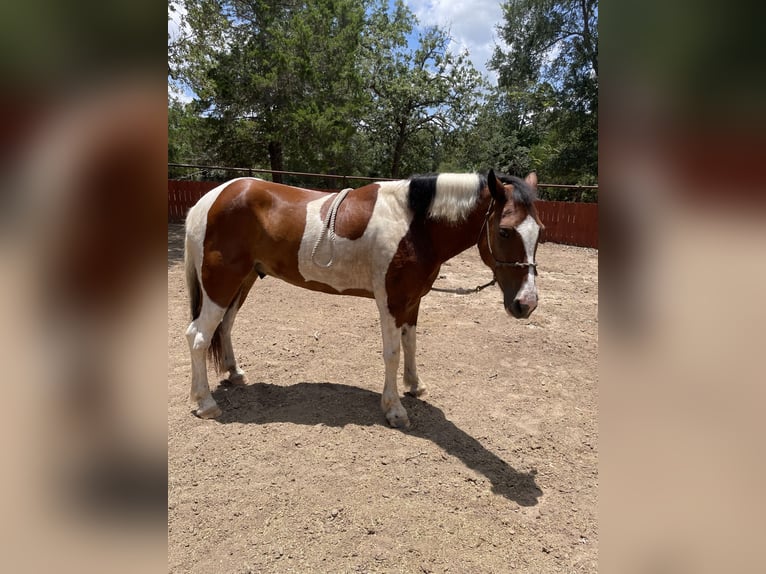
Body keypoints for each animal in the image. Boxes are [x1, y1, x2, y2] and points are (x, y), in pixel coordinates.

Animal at [184, 169, 543, 428]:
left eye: (539, 231)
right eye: (505, 231)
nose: (526, 303)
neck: (414, 225)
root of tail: (212, 198)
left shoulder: (412, 301)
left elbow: (411, 344)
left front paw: (415, 385)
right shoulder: (391, 302)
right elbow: (392, 353)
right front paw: (394, 409)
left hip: (242, 282)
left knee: (225, 327)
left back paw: (234, 373)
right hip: (221, 283)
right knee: (198, 336)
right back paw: (205, 403)